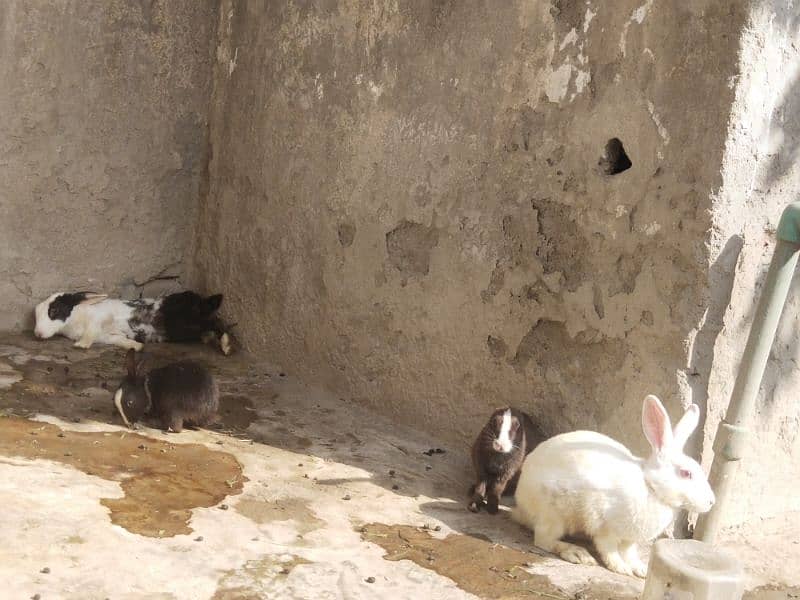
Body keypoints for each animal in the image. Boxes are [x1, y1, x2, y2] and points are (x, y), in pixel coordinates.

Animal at [516, 394, 716, 576]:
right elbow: (609, 550)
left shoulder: (630, 540)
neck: (650, 487)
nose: (711, 502)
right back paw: (577, 553)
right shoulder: (606, 529)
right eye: (686, 473)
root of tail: (520, 503)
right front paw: (622, 568)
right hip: (554, 514)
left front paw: (641, 569)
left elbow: (630, 553)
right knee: (543, 540)